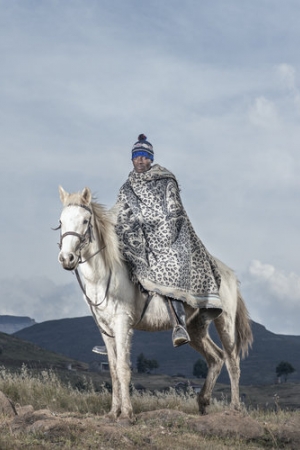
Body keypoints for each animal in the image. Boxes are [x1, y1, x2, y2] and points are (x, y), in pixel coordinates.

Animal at [56, 186, 253, 422]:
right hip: (196, 327)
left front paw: (126, 414)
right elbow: (112, 370)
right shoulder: (105, 328)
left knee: (233, 361)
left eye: (85, 220)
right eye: (61, 221)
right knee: (216, 358)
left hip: (225, 320)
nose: (66, 259)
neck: (103, 276)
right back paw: (203, 402)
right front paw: (113, 412)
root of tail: (229, 273)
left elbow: (123, 368)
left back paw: (234, 408)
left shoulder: (122, 323)